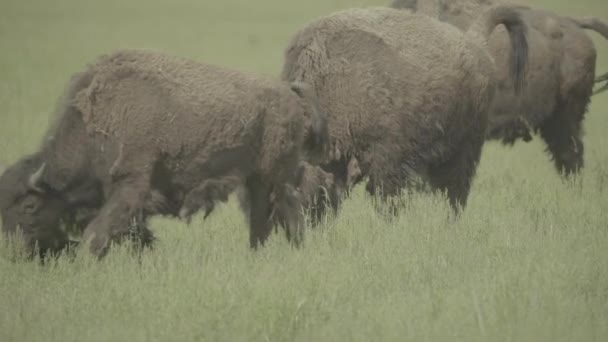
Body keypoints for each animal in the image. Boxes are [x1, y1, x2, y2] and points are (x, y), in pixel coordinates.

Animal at [0, 49, 328, 258]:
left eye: (29, 206)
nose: (15, 253)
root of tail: (290, 93)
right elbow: (133, 233)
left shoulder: (130, 185)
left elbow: (98, 231)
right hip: (257, 180)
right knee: (273, 218)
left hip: (269, 178)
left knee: (276, 215)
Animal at [282, 5, 528, 215]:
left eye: (296, 178)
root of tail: (475, 42)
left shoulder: (388, 159)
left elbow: (387, 196)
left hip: (465, 149)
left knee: (455, 192)